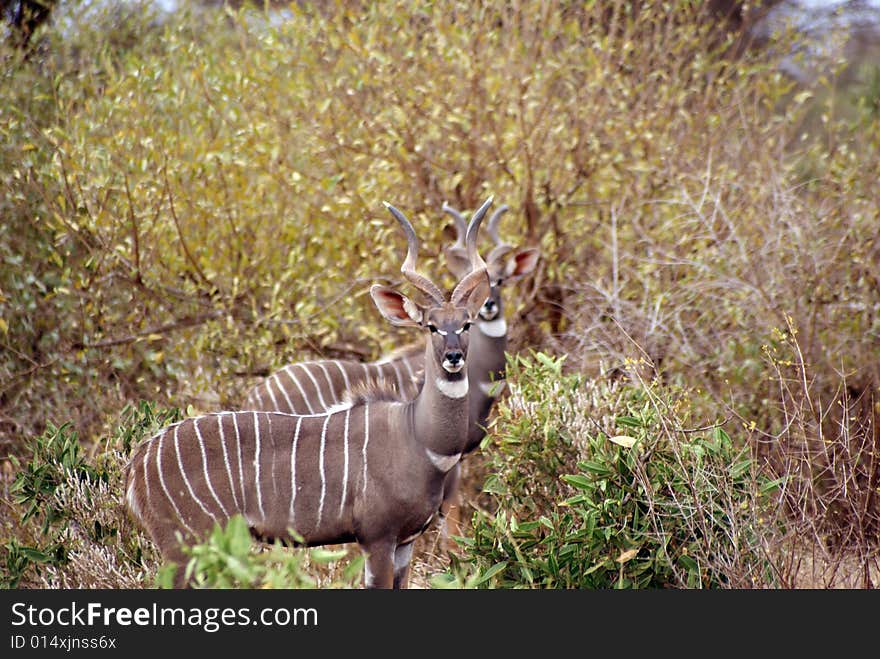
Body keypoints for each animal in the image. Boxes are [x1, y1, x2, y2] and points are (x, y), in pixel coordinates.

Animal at [124, 199, 496, 592]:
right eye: (431, 326)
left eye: (466, 323)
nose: (453, 357)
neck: (419, 439)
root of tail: (137, 465)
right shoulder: (377, 537)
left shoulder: (406, 542)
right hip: (187, 545)